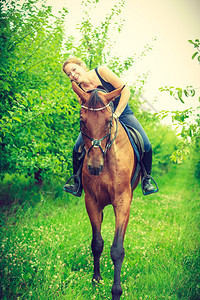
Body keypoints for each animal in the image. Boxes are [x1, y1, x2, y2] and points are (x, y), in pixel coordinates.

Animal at [71, 81, 139, 300]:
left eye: (109, 121)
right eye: (82, 121)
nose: (94, 167)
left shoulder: (122, 202)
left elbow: (117, 249)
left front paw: (116, 291)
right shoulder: (92, 202)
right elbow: (97, 243)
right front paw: (96, 280)